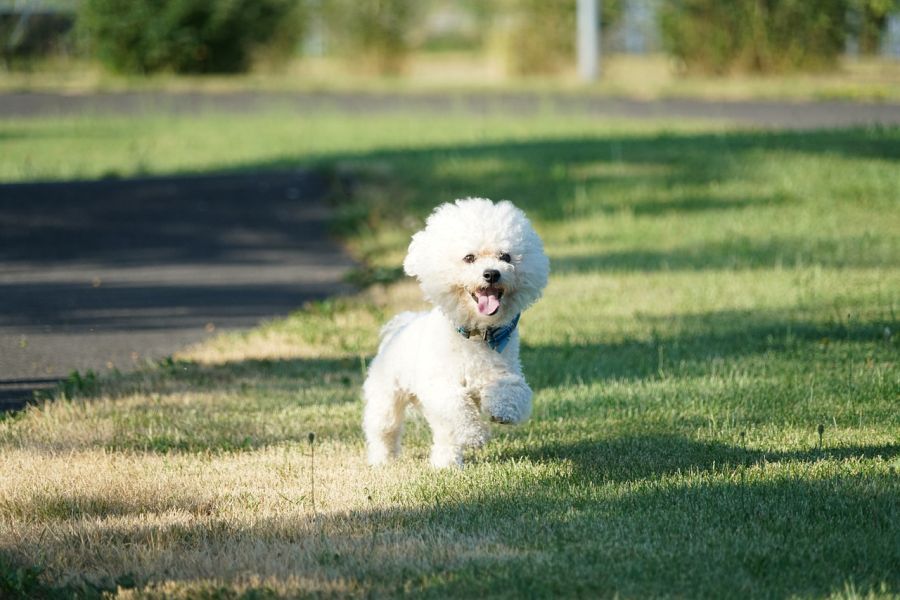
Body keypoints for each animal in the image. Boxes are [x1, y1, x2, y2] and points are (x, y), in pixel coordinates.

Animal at [364, 199, 548, 466]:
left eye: (506, 256)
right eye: (469, 257)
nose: (491, 273)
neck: (476, 335)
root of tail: (402, 326)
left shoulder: (505, 370)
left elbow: (511, 390)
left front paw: (502, 411)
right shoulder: (440, 385)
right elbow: (457, 408)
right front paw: (474, 435)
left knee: (443, 436)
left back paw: (446, 464)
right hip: (386, 395)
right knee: (384, 429)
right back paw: (382, 460)